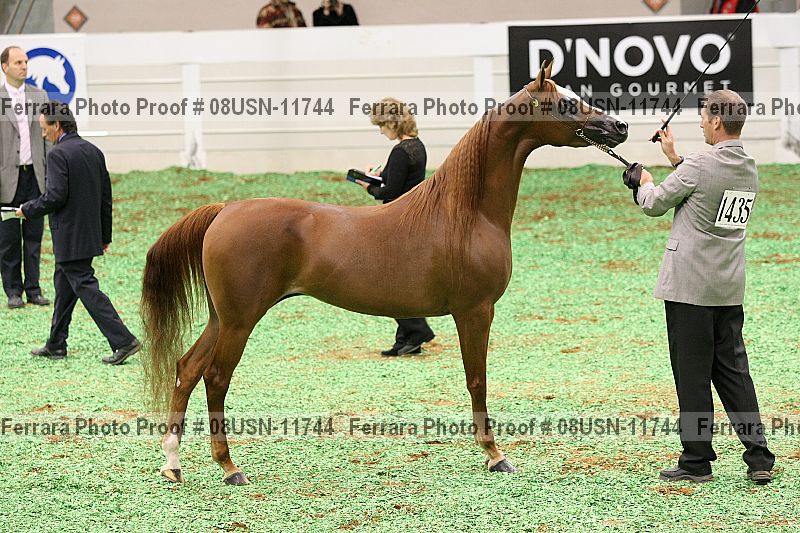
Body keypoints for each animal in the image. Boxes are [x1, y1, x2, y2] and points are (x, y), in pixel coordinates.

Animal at [141, 61, 628, 485]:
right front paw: (495, 455)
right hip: (240, 321)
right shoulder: (475, 311)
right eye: (565, 103)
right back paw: (229, 467)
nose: (619, 128)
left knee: (186, 368)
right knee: (215, 377)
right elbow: (477, 381)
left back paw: (172, 464)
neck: (465, 212)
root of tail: (225, 209)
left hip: (222, 318)